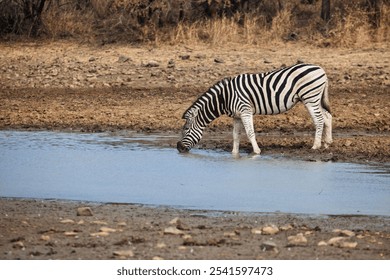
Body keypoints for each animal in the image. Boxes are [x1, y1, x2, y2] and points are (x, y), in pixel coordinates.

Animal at [177, 63, 332, 155]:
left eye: (186, 129)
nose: (178, 148)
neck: (225, 97)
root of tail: (321, 69)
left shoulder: (245, 110)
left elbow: (250, 132)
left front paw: (257, 151)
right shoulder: (237, 115)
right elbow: (235, 135)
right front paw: (234, 153)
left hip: (310, 97)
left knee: (319, 119)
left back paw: (316, 146)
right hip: (316, 98)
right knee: (327, 117)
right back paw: (327, 143)